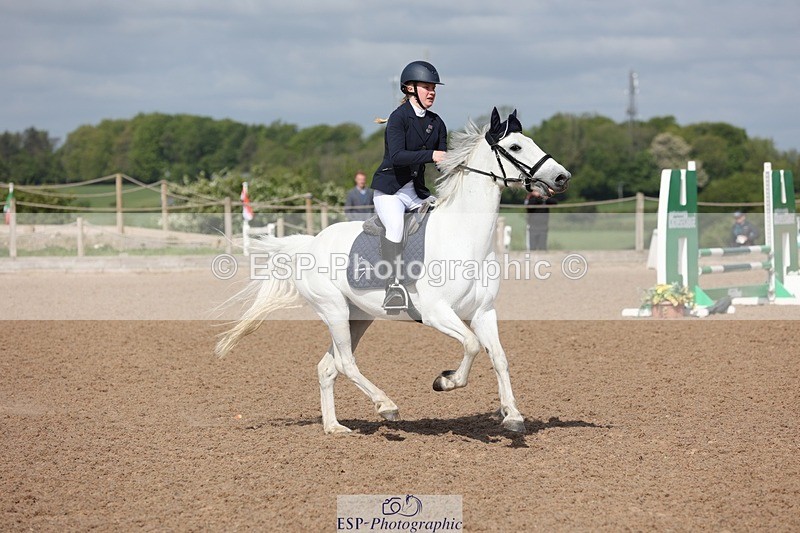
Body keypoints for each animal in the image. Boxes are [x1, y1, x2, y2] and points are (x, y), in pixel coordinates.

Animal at [215, 108, 571, 434]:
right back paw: (386, 405)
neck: (464, 237)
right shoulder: (437, 313)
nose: (562, 177)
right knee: (345, 362)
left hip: (357, 317)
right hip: (333, 310)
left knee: (327, 367)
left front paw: (512, 415)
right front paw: (445, 381)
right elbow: (471, 345)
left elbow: (499, 357)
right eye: (515, 147)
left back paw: (334, 427)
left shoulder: (483, 312)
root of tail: (311, 243)